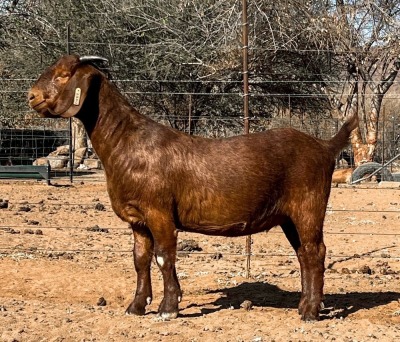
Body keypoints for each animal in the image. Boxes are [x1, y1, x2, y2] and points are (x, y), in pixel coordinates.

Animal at [28, 54, 360, 322]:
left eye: (62, 75)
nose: (31, 96)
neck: (127, 142)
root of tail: (325, 146)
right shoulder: (137, 218)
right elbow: (140, 259)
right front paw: (136, 306)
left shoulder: (159, 211)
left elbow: (164, 256)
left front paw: (168, 309)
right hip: (289, 216)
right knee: (304, 253)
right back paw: (304, 305)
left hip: (309, 205)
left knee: (315, 251)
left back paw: (310, 313)